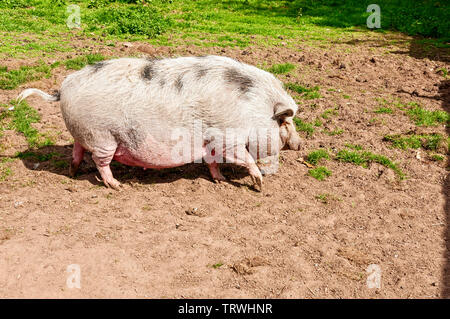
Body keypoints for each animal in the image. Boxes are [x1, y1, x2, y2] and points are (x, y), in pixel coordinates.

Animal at [17, 55, 300, 190]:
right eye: (285, 123)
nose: (299, 144)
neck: (253, 109)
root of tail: (63, 87)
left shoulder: (211, 142)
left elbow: (212, 163)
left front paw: (219, 180)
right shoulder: (227, 139)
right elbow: (245, 159)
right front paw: (259, 186)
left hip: (85, 133)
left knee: (77, 150)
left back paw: (74, 173)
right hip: (102, 136)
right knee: (101, 162)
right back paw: (117, 186)